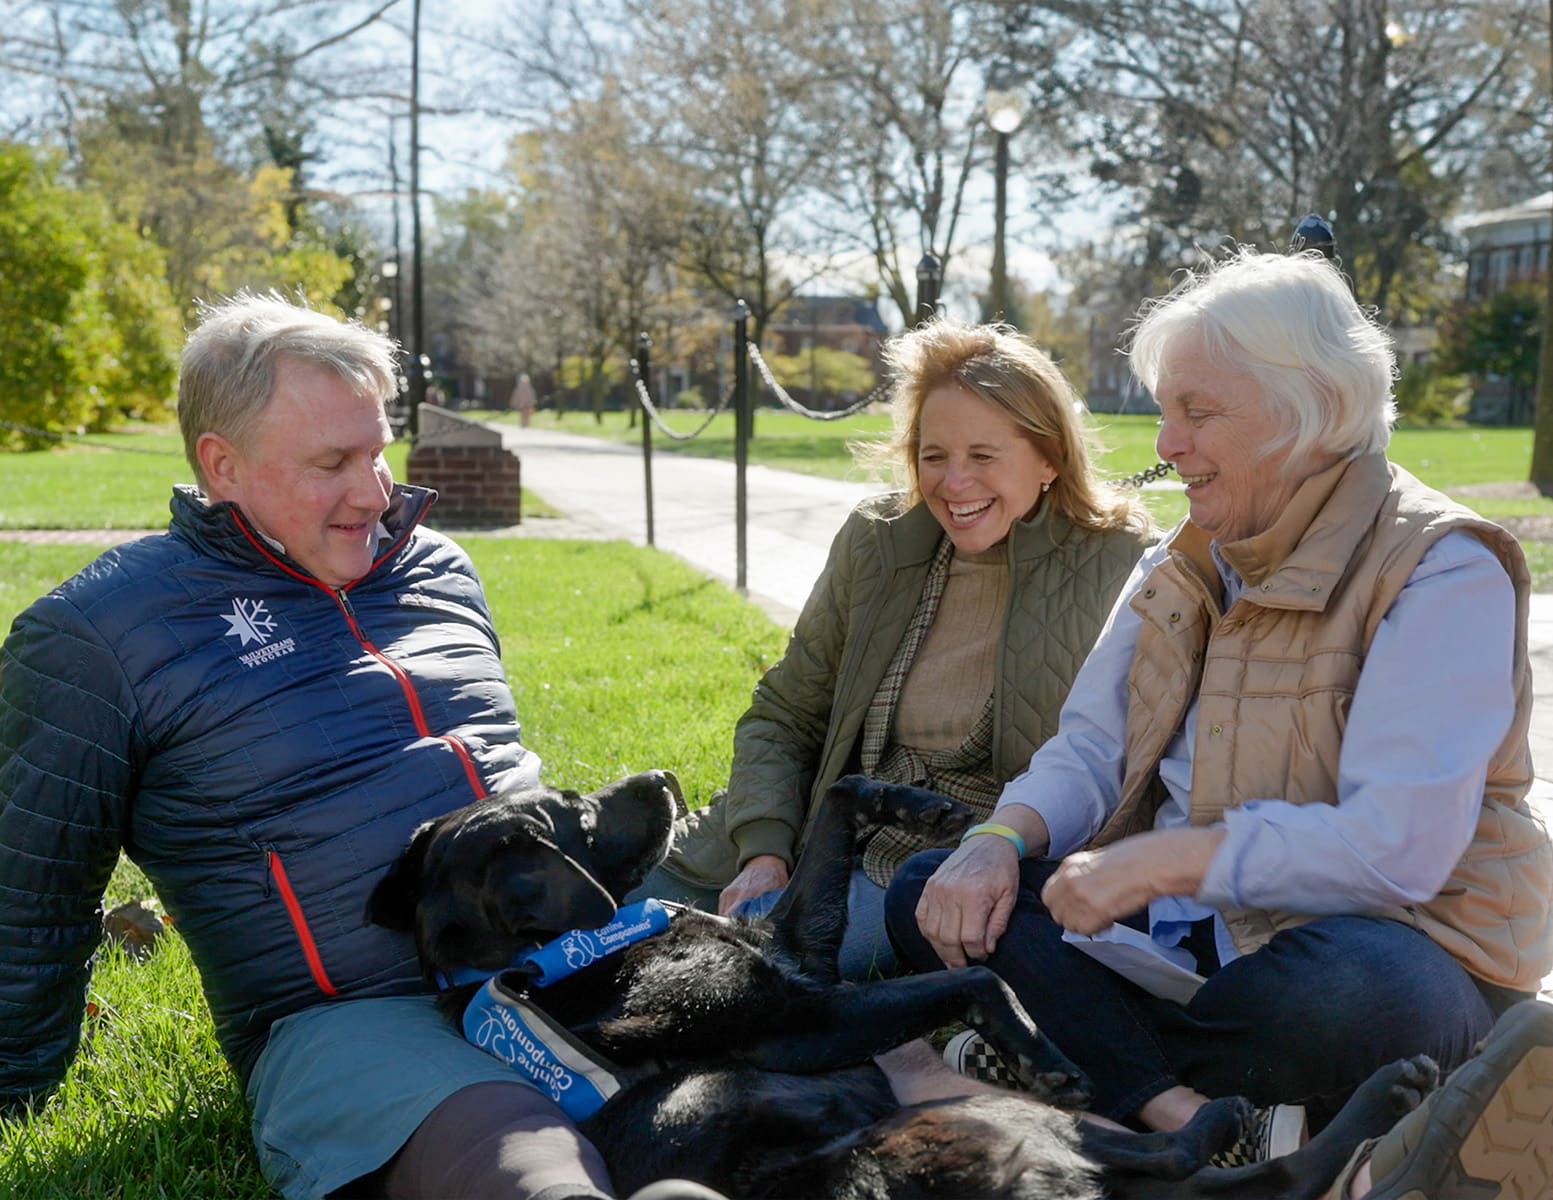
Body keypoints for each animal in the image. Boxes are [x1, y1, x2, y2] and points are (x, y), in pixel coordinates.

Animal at [369, 773, 1434, 1192]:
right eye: (573, 812)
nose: (666, 776)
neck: (574, 954)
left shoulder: (801, 941)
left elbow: (835, 809)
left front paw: (909, 800)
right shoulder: (801, 1020)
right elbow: (973, 980)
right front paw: (1041, 1050)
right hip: (941, 1118)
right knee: (1198, 1160)